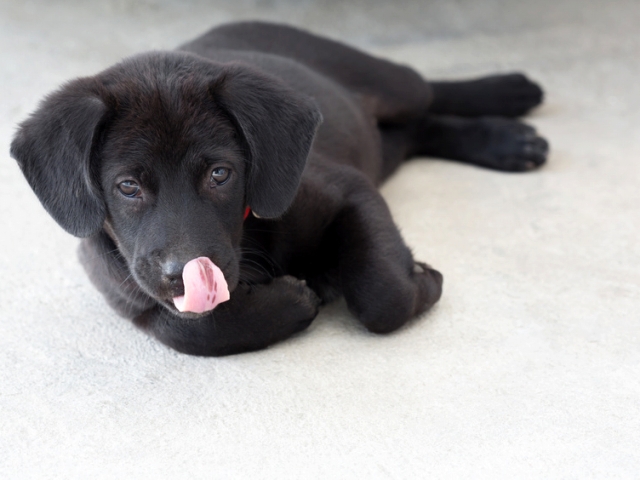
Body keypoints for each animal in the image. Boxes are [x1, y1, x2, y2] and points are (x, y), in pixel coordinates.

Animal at [10, 21, 548, 356]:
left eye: (220, 174)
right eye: (127, 186)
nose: (183, 273)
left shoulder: (349, 188)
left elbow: (382, 295)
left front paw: (421, 279)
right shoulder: (126, 288)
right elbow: (189, 327)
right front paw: (292, 303)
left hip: (389, 84)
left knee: (427, 90)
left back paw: (509, 101)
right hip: (382, 142)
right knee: (416, 130)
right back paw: (505, 140)